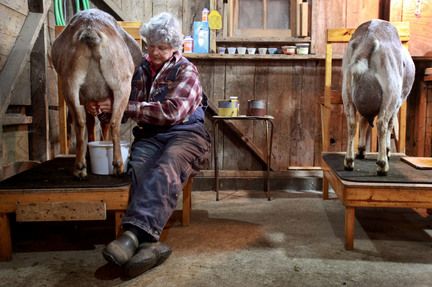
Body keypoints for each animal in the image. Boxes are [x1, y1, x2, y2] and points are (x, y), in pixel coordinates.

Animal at [51, 9, 141, 179]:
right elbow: (98, 125)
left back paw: (80, 167)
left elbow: (92, 124)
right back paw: (116, 166)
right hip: (120, 85)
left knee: (81, 122)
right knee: (113, 123)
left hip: (70, 83)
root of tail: (91, 29)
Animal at [340, 19, 416, 176]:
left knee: (352, 123)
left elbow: (363, 121)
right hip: (390, 92)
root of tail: (370, 37)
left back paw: (349, 161)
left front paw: (361, 150)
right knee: (382, 123)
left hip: (347, 91)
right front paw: (387, 150)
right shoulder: (397, 103)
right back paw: (382, 164)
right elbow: (391, 125)